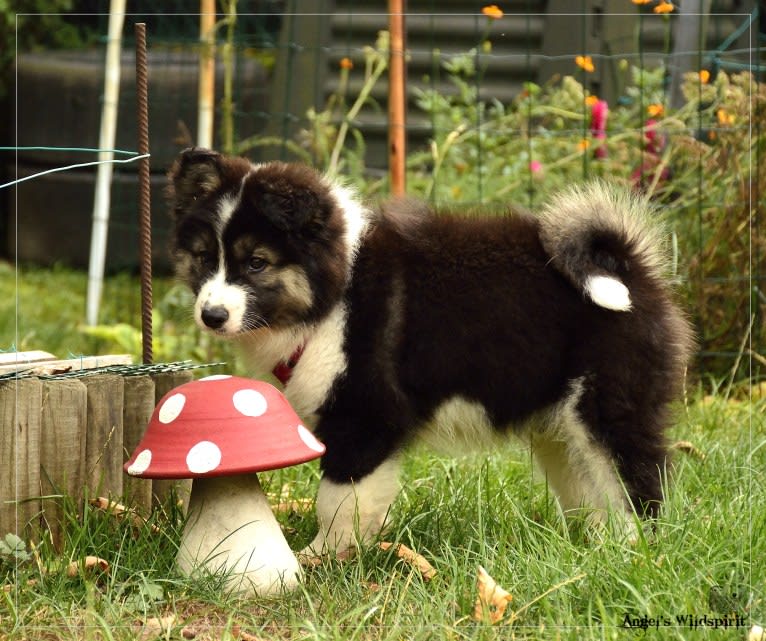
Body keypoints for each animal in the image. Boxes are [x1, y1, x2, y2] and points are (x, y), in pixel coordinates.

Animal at [168, 148, 696, 552]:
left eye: (257, 263)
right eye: (203, 258)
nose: (211, 315)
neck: (334, 294)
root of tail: (629, 265)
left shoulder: (366, 416)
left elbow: (337, 499)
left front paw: (322, 557)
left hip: (607, 403)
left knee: (635, 481)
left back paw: (633, 551)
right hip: (559, 425)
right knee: (588, 485)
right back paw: (593, 548)